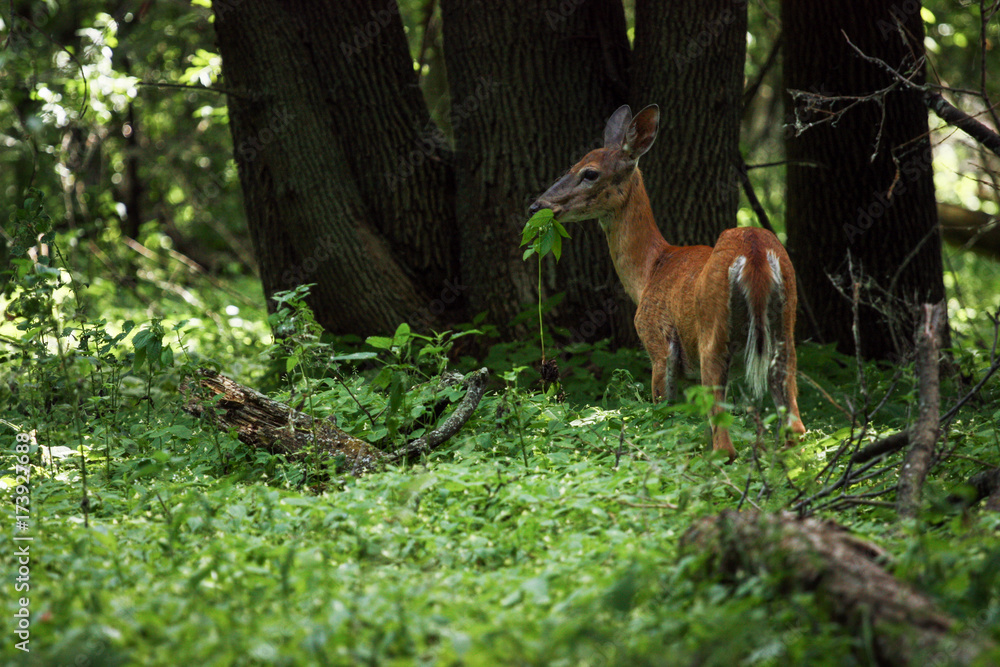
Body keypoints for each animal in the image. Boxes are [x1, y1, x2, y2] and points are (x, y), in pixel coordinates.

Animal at [532, 105, 804, 460]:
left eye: (589, 173)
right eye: (571, 166)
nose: (537, 205)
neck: (650, 271)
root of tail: (756, 253)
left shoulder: (657, 341)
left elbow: (662, 415)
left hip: (712, 333)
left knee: (724, 440)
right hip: (785, 328)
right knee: (795, 426)